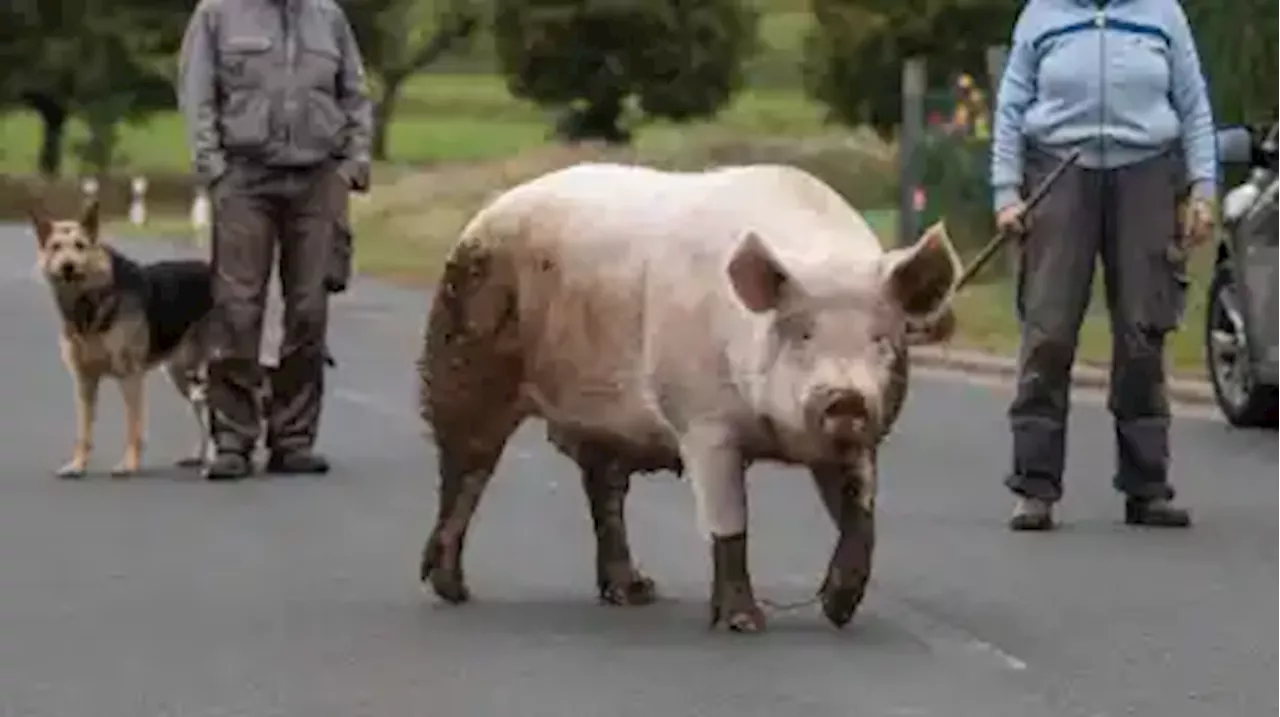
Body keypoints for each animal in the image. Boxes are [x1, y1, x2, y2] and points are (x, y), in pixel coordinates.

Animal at [30, 197, 217, 476]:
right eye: (55, 247)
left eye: (80, 246)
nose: (67, 267)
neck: (90, 302)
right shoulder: (84, 381)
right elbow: (83, 432)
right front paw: (77, 465)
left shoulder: (130, 377)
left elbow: (133, 427)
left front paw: (129, 465)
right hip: (182, 373)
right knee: (203, 409)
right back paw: (200, 455)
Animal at [419, 162, 962, 632]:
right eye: (801, 334)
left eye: (881, 340)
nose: (845, 398)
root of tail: (485, 214)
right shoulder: (702, 422)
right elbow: (728, 521)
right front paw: (744, 625)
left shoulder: (861, 438)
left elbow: (859, 512)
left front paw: (839, 610)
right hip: (464, 355)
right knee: (466, 467)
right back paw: (453, 589)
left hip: (602, 421)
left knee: (604, 491)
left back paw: (636, 592)